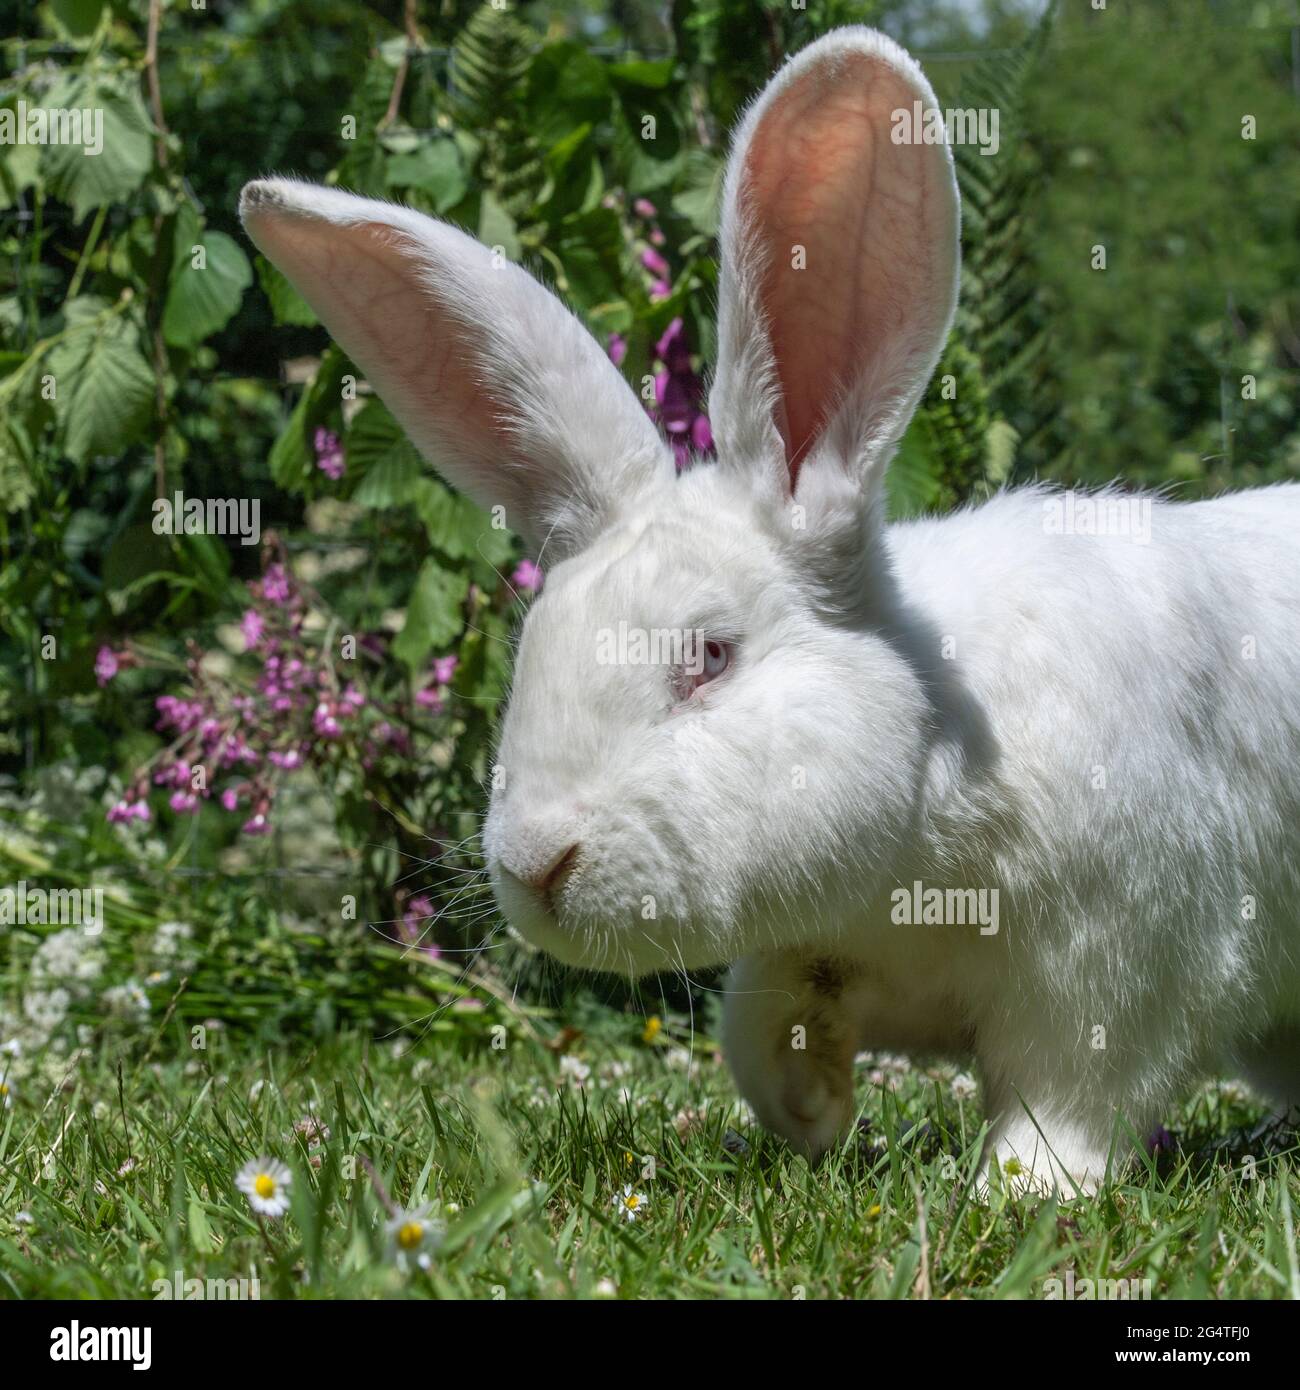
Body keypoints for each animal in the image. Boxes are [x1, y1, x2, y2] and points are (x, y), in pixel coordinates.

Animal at [241, 25, 1300, 1194]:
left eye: (711, 655)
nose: (534, 865)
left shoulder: (1109, 966)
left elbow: (1066, 1104)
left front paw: (1015, 1193)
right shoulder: (807, 953)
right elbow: (756, 1030)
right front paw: (814, 1117)